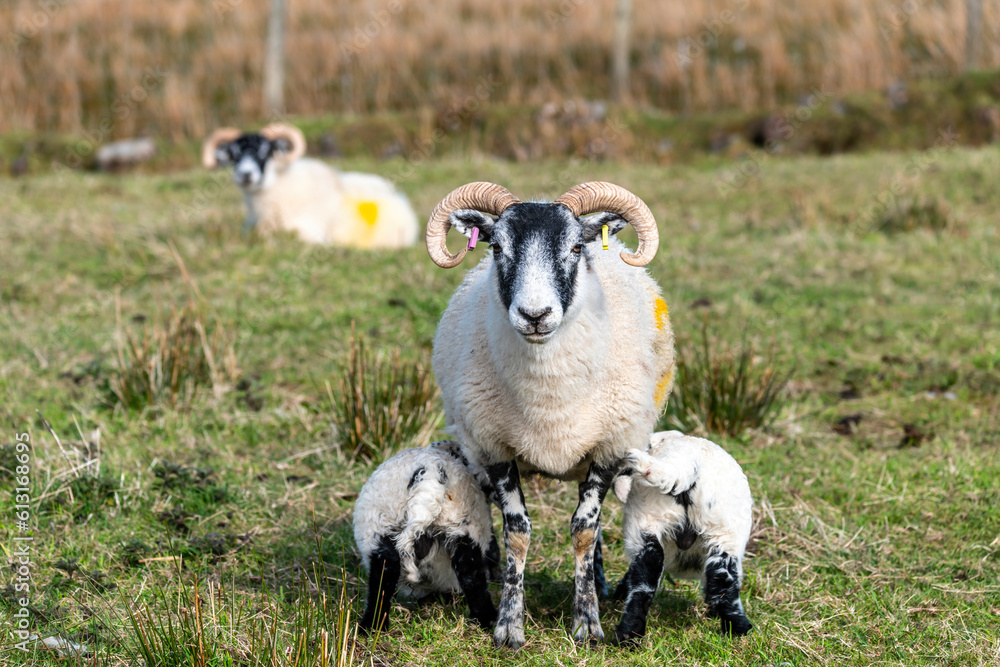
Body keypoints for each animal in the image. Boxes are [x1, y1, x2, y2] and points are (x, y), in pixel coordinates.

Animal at [353, 440, 499, 634]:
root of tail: (430, 473)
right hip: (464, 526)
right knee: (471, 575)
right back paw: (486, 619)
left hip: (381, 528)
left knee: (382, 577)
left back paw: (372, 626)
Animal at [424, 181, 676, 648]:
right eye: (497, 247)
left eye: (576, 247)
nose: (535, 315)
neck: (548, 397)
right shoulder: (494, 448)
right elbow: (518, 533)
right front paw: (508, 625)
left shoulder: (609, 448)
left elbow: (584, 530)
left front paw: (588, 623)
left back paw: (598, 585)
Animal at [611, 430, 754, 645]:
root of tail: (688, 463)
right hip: (725, 532)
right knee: (723, 580)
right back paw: (738, 631)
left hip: (644, 517)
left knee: (647, 569)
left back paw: (628, 634)